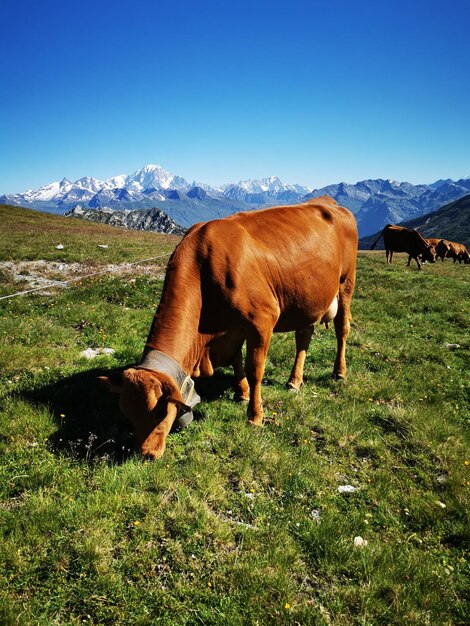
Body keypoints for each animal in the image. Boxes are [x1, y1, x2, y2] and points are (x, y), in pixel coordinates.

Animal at [99, 196, 356, 458]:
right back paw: (294, 381)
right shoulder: (233, 330)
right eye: (128, 413)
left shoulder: (262, 321)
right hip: (307, 301)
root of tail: (328, 201)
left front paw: (255, 416)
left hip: (346, 282)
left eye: (160, 411)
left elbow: (255, 370)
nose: (145, 453)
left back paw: (339, 372)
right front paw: (241, 393)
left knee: (342, 329)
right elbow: (235, 360)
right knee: (304, 335)